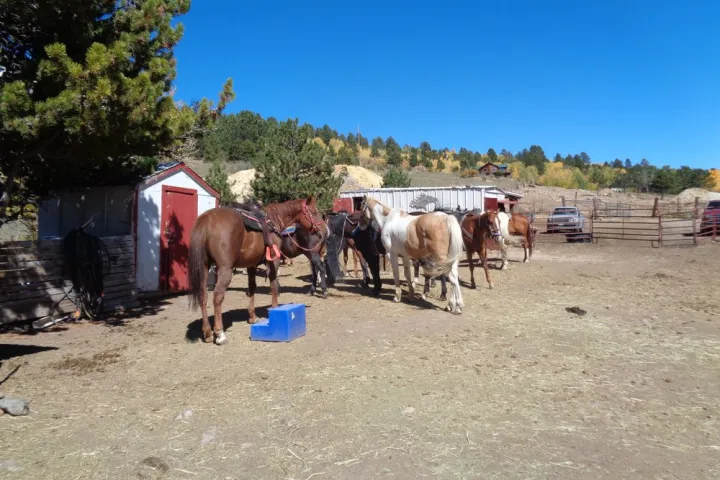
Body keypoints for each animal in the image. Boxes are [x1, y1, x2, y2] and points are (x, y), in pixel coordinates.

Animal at [188, 196, 326, 345]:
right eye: (314, 212)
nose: (325, 230)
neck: (274, 220)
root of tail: (206, 220)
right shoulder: (274, 260)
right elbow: (274, 286)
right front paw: (275, 309)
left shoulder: (251, 264)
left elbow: (252, 288)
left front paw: (252, 317)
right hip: (225, 269)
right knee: (217, 295)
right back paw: (219, 333)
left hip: (204, 268)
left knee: (203, 296)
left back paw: (207, 332)